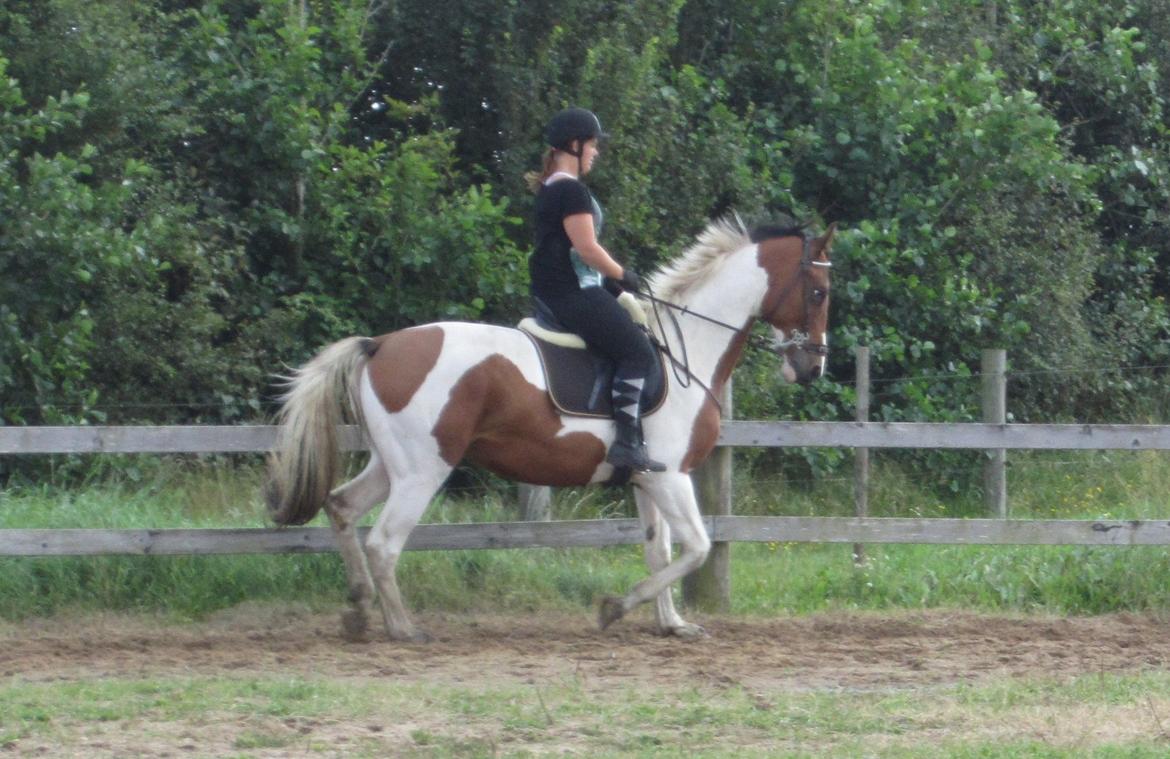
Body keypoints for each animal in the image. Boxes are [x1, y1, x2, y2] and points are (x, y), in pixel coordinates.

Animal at [265, 217, 833, 640]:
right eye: (820, 292)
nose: (813, 368)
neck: (687, 347)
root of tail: (380, 344)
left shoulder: (648, 478)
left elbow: (662, 550)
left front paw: (671, 624)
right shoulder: (671, 476)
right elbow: (696, 548)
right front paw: (615, 608)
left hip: (393, 464)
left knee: (342, 507)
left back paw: (360, 610)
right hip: (423, 471)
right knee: (384, 543)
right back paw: (403, 627)